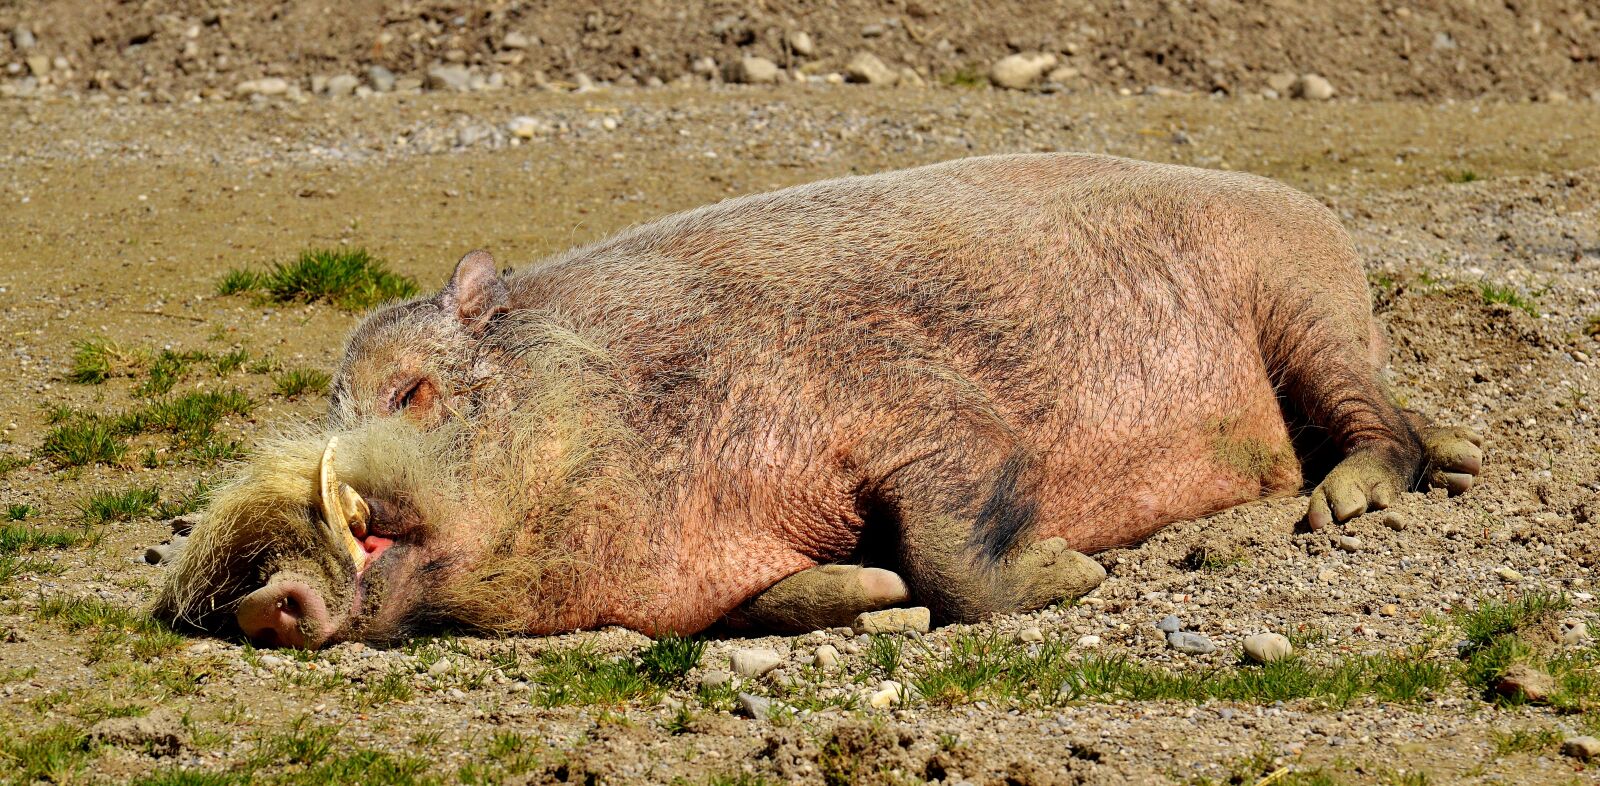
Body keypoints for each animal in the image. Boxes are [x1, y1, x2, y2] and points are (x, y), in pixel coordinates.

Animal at [155, 153, 1483, 648]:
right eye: (333, 399)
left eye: (415, 390)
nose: (261, 596)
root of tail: (1317, 215)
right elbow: (800, 595)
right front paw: (872, 597)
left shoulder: (922, 411)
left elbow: (955, 543)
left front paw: (1079, 576)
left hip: (1301, 306)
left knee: (1375, 427)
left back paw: (1346, 509)